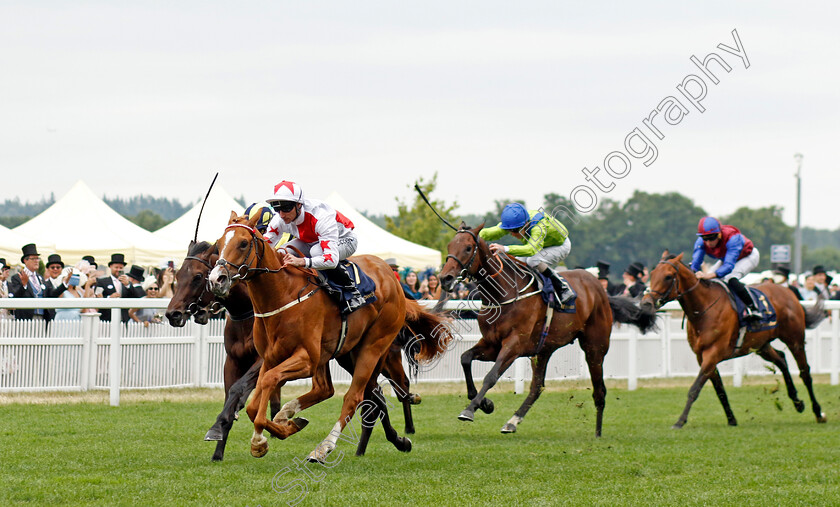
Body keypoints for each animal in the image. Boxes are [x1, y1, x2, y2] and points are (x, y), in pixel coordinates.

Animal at [165, 240, 424, 462]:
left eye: (197, 276)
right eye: (178, 276)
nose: (172, 314)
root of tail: (390, 277)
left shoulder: (266, 359)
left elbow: (241, 389)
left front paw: (226, 427)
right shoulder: (233, 359)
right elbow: (233, 392)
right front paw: (220, 440)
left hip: (372, 349)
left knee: (372, 392)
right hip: (343, 354)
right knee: (366, 393)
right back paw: (392, 441)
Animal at [206, 212, 450, 462]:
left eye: (243, 243)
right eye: (218, 244)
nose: (216, 279)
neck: (282, 294)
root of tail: (393, 279)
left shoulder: (307, 359)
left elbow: (268, 382)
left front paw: (260, 440)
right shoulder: (271, 357)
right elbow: (255, 404)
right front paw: (280, 429)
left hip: (373, 346)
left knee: (354, 396)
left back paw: (323, 447)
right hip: (342, 353)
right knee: (334, 390)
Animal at [440, 225, 656, 436]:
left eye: (468, 248)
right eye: (450, 245)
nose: (445, 278)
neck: (502, 295)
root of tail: (602, 292)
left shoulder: (514, 345)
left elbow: (491, 376)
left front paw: (470, 409)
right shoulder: (491, 344)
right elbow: (465, 359)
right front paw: (485, 403)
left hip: (595, 347)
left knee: (599, 390)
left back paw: (597, 433)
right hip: (543, 350)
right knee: (537, 387)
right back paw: (512, 422)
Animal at [644, 253, 828, 428]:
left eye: (668, 276)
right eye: (652, 274)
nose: (646, 303)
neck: (704, 309)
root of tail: (788, 292)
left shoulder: (713, 353)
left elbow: (695, 388)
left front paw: (680, 421)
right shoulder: (702, 356)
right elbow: (719, 389)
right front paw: (731, 419)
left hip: (794, 340)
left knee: (805, 372)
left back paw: (818, 412)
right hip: (760, 345)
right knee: (781, 359)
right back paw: (797, 402)